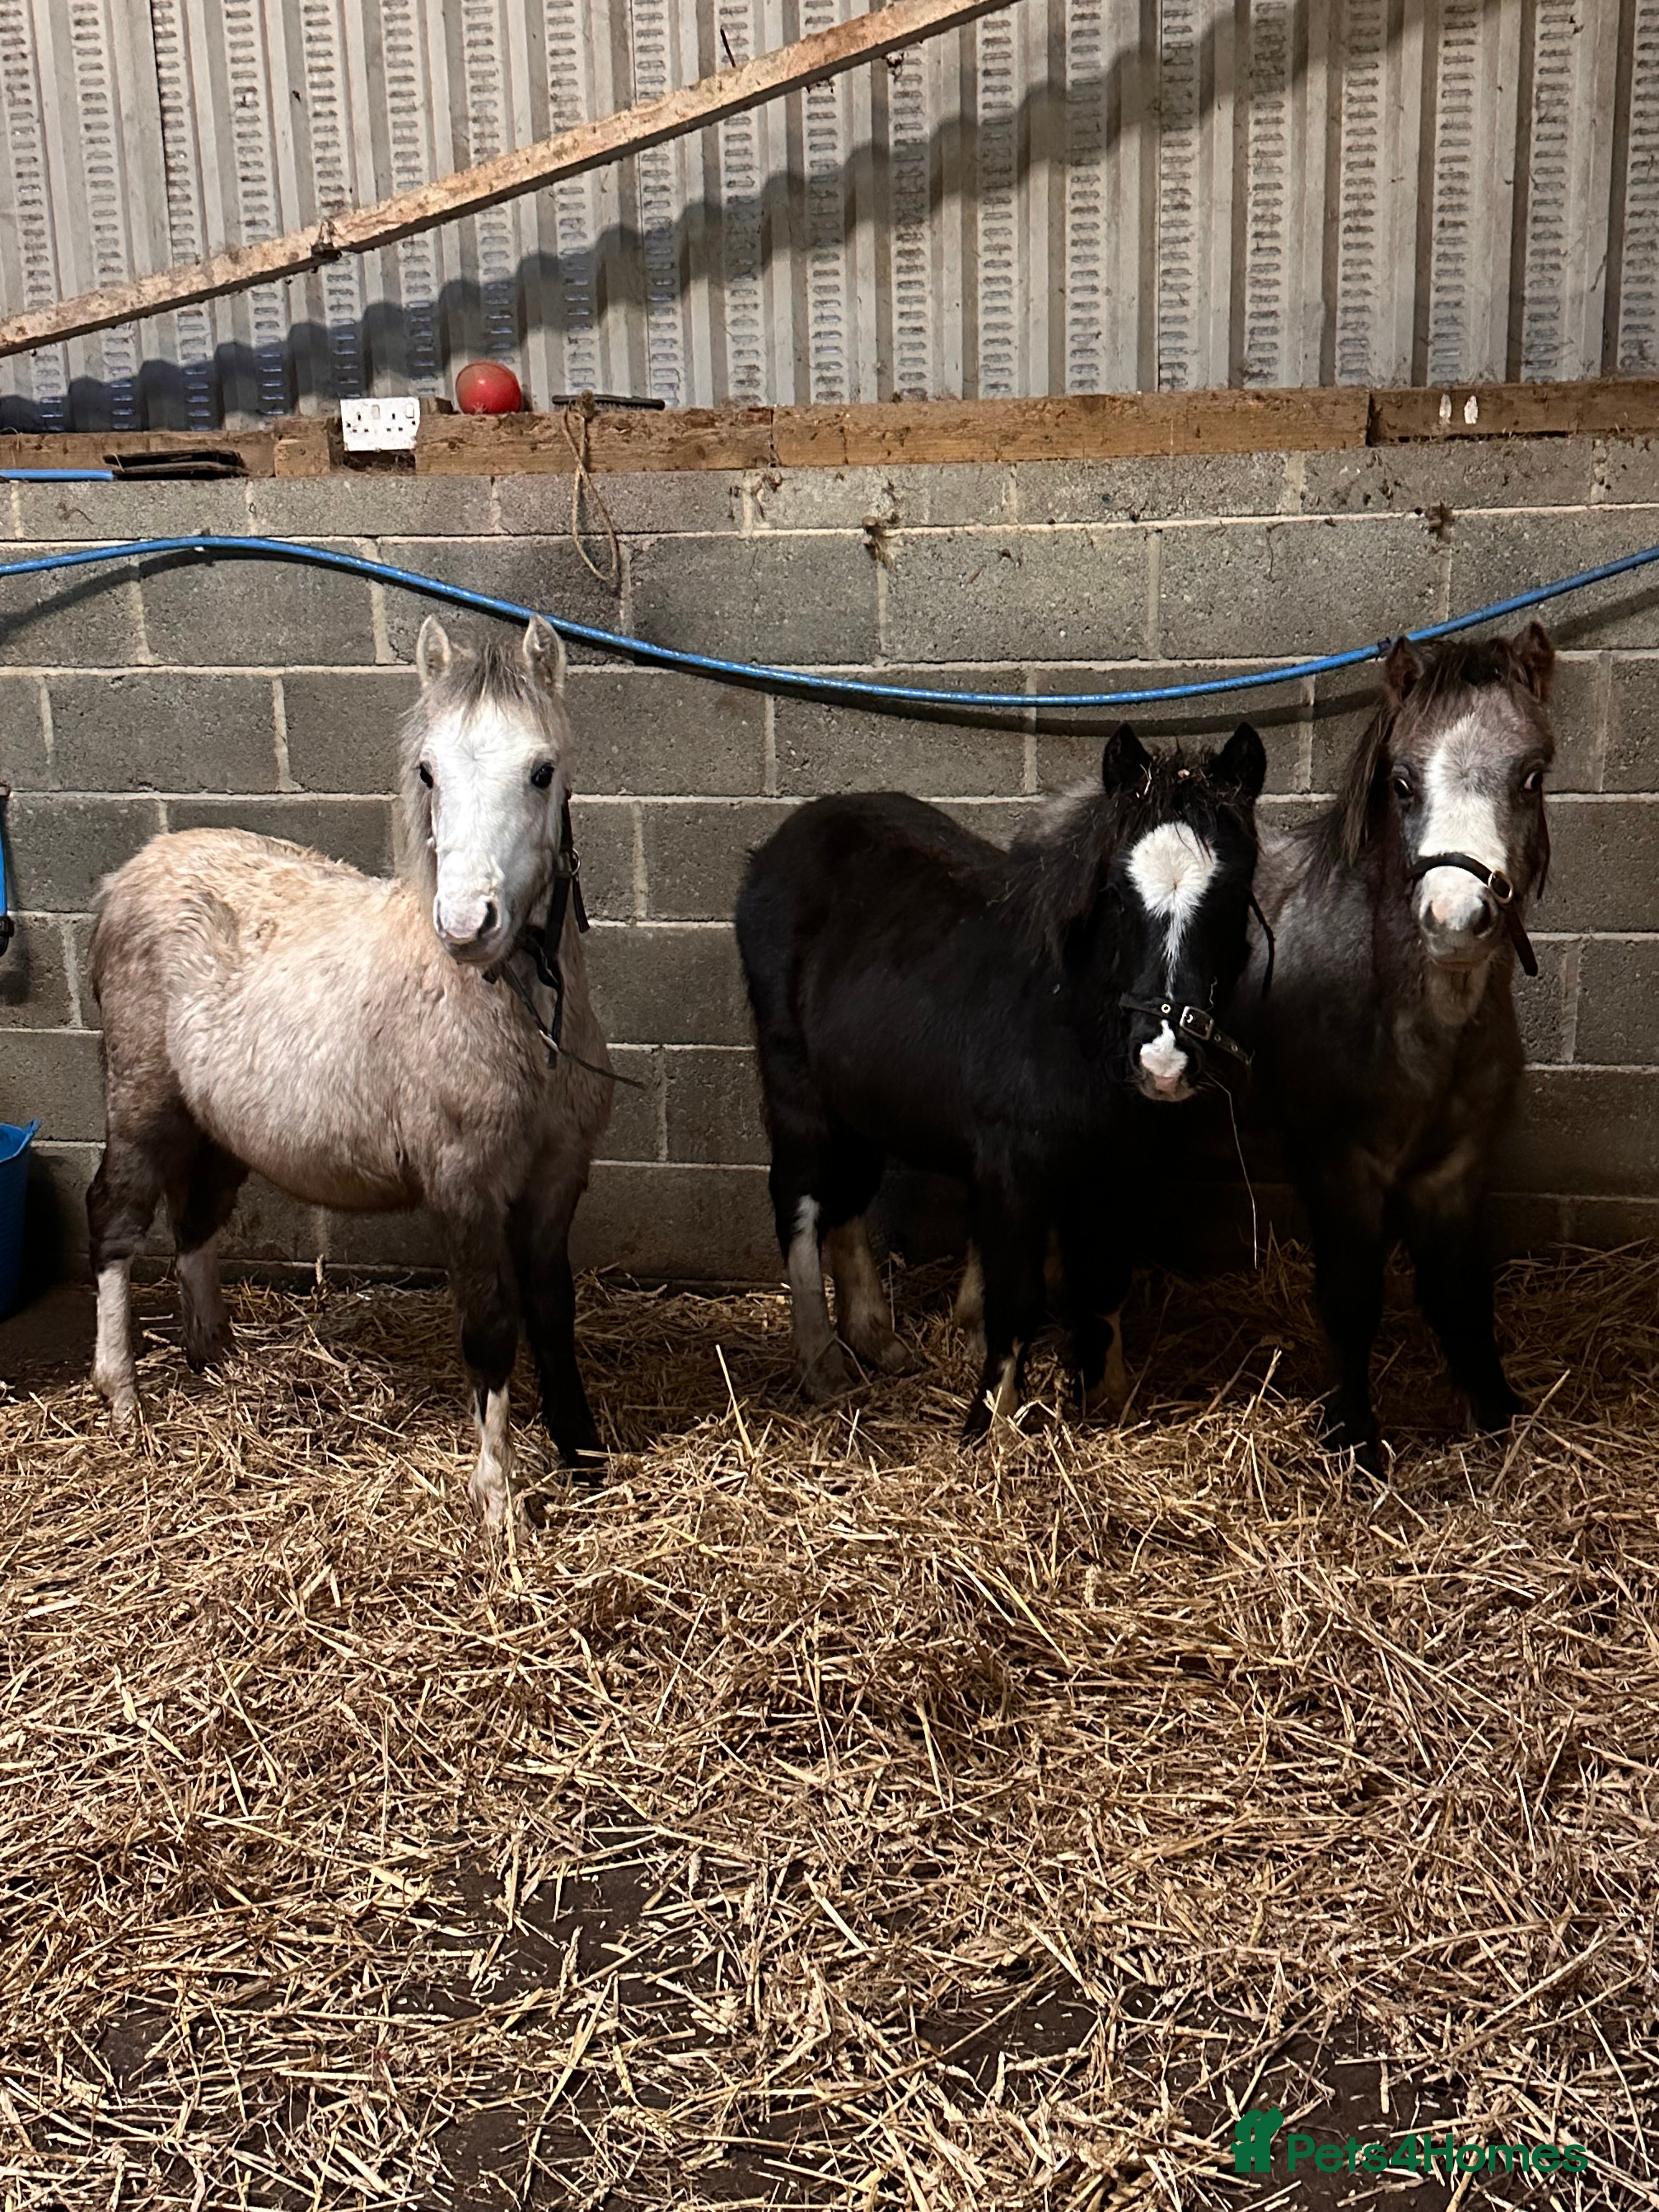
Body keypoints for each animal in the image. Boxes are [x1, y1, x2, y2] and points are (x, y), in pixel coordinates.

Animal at [85, 615, 613, 1527]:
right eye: (429, 771)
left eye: (542, 771)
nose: (467, 925)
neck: (518, 1021)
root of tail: (128, 874)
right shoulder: (465, 1188)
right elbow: (490, 1325)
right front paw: (499, 1501)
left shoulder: (556, 1180)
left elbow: (553, 1309)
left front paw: (580, 1456)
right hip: (142, 1106)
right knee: (117, 1220)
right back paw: (123, 1397)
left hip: (217, 1128)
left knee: (195, 1222)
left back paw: (215, 1356)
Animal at [735, 721, 1267, 1436]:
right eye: (1118, 896)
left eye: (1233, 897)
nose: (1163, 1063)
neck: (1070, 1021)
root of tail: (779, 846)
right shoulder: (1014, 1168)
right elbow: (1016, 1295)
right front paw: (989, 1422)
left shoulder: (1117, 1169)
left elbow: (1103, 1283)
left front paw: (1109, 1399)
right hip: (796, 1086)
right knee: (799, 1198)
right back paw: (823, 1366)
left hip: (859, 1096)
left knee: (849, 1197)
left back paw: (877, 1340)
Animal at [1240, 623, 1557, 1472]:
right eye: (1404, 782)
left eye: (1532, 775)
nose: (1456, 919)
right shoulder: (1341, 1167)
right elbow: (1352, 1299)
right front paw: (1354, 1437)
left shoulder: (1455, 1171)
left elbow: (1462, 1296)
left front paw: (1498, 1417)